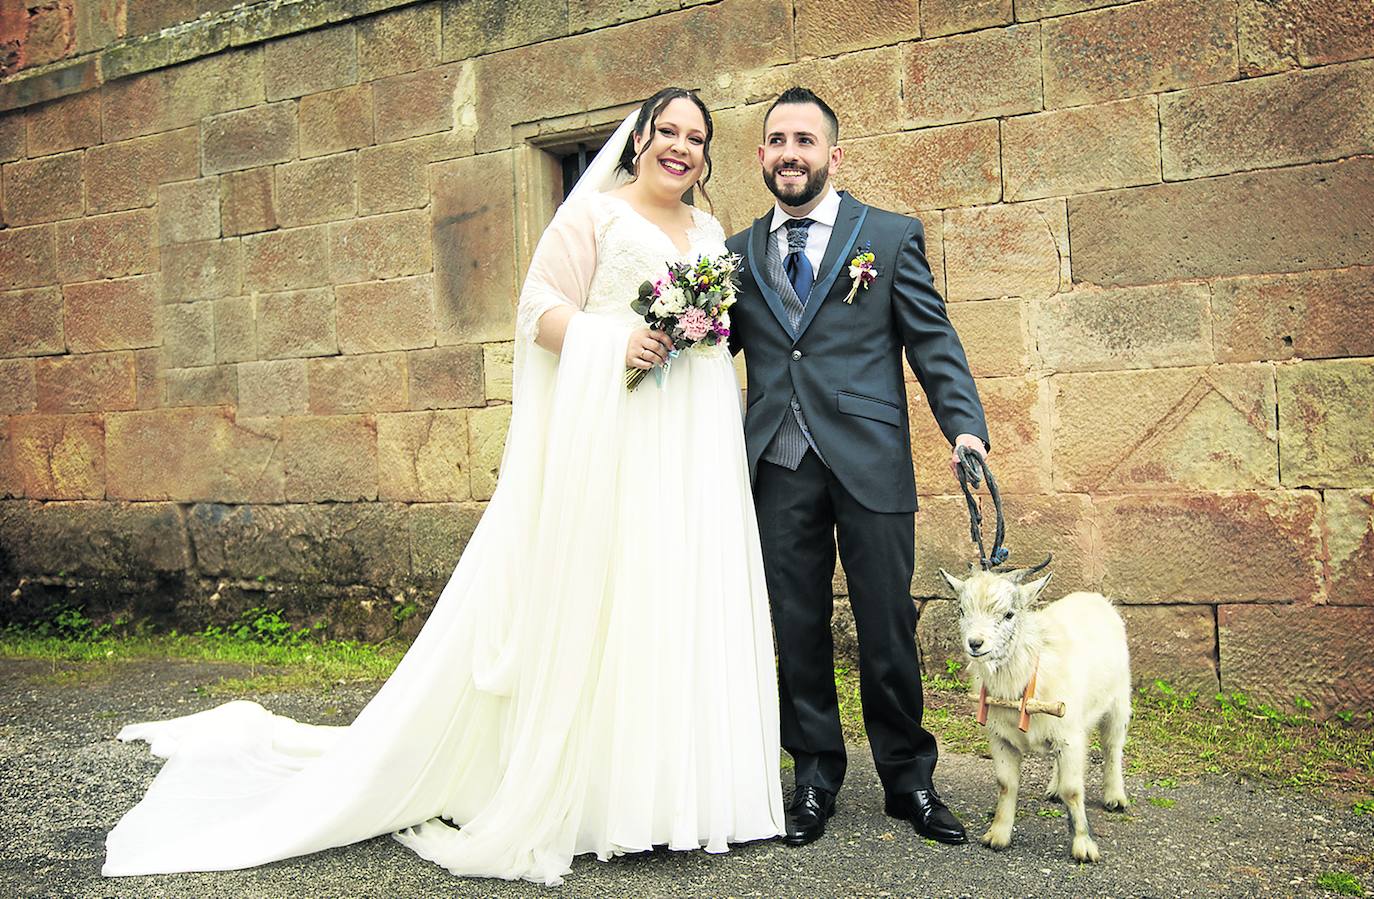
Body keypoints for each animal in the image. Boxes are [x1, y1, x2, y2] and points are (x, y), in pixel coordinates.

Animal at [939, 563, 1132, 868]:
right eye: (961, 610)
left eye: (1009, 614)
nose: (975, 643)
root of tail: (1094, 597)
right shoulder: (1002, 738)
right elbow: (1006, 785)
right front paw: (998, 835)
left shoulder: (1070, 736)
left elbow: (1073, 790)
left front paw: (1084, 845)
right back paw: (1054, 788)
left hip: (1118, 699)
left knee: (1113, 747)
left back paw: (1115, 796)